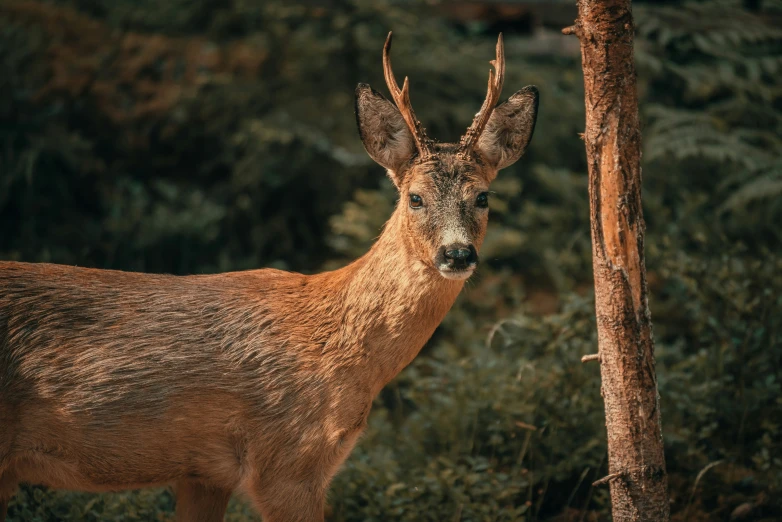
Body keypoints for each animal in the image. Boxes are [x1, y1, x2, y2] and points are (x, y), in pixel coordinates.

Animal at [0, 33, 540, 520]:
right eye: (415, 198)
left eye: (482, 197)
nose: (457, 254)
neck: (341, 347)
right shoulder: (287, 461)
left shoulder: (203, 474)